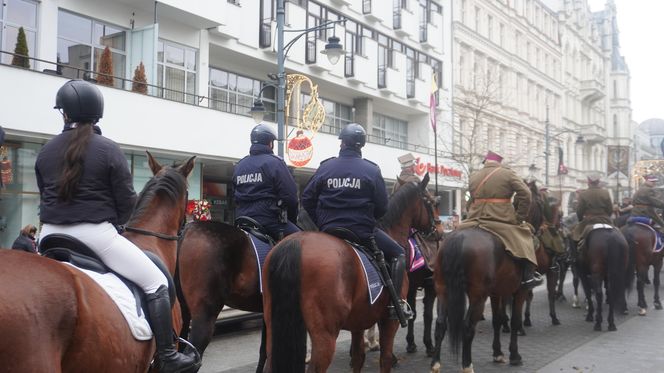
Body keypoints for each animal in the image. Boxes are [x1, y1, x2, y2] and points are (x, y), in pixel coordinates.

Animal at [262, 175, 438, 372]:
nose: (437, 230)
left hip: (275, 328)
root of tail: (296, 244)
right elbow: (385, 359)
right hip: (325, 335)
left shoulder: (359, 320)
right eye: (431, 202)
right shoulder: (389, 321)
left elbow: (358, 357)